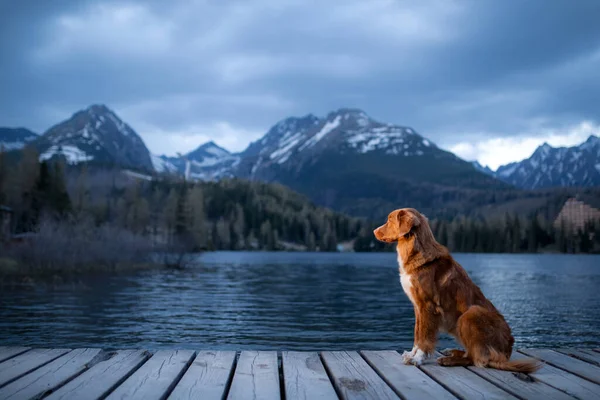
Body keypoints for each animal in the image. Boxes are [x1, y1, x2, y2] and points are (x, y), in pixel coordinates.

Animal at [372, 208, 540, 374]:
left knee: (476, 358)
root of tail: (507, 352)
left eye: (389, 220)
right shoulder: (417, 307)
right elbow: (417, 333)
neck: (415, 251)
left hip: (470, 314)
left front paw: (418, 358)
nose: (374, 231)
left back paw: (449, 360)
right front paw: (412, 354)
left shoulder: (427, 306)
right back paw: (452, 352)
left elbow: (424, 336)